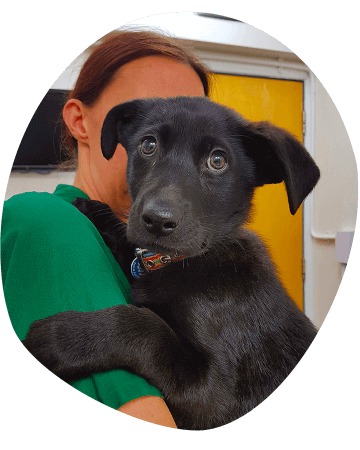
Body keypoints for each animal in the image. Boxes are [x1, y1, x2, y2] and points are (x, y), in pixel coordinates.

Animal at [23, 97, 320, 428]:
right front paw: (94, 209)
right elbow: (132, 249)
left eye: (218, 161)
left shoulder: (213, 396)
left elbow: (144, 326)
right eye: (148, 145)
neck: (187, 261)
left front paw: (61, 337)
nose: (157, 220)